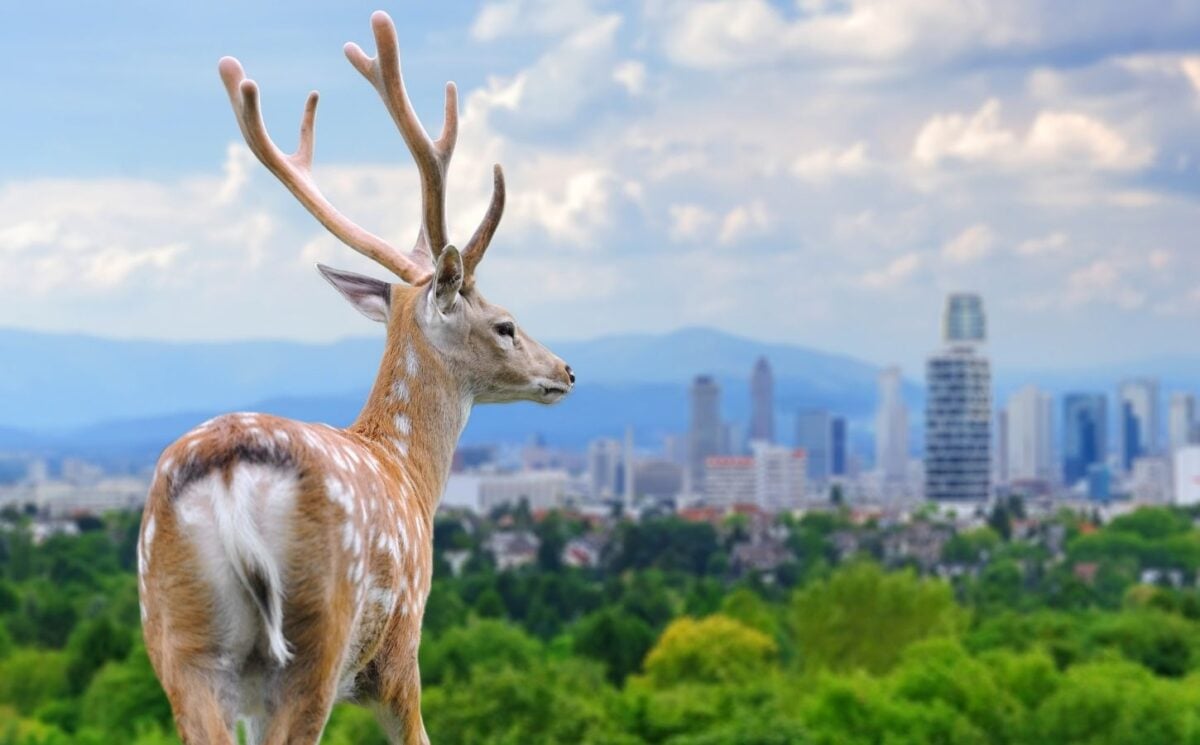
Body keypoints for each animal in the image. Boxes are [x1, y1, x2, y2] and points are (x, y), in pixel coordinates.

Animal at [136, 13, 576, 743]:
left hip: (178, 637)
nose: (565, 370)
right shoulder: (401, 653)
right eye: (506, 324)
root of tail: (229, 474)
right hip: (315, 636)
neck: (410, 474)